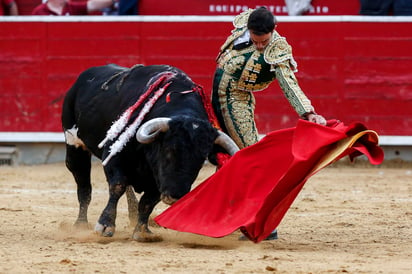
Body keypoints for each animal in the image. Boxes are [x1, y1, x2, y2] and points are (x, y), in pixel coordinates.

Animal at [62, 64, 240, 242]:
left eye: (201, 160)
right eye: (168, 150)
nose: (175, 196)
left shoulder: (158, 180)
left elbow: (147, 202)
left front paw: (142, 231)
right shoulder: (113, 155)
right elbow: (118, 186)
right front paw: (105, 225)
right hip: (75, 147)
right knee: (84, 187)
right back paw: (80, 224)